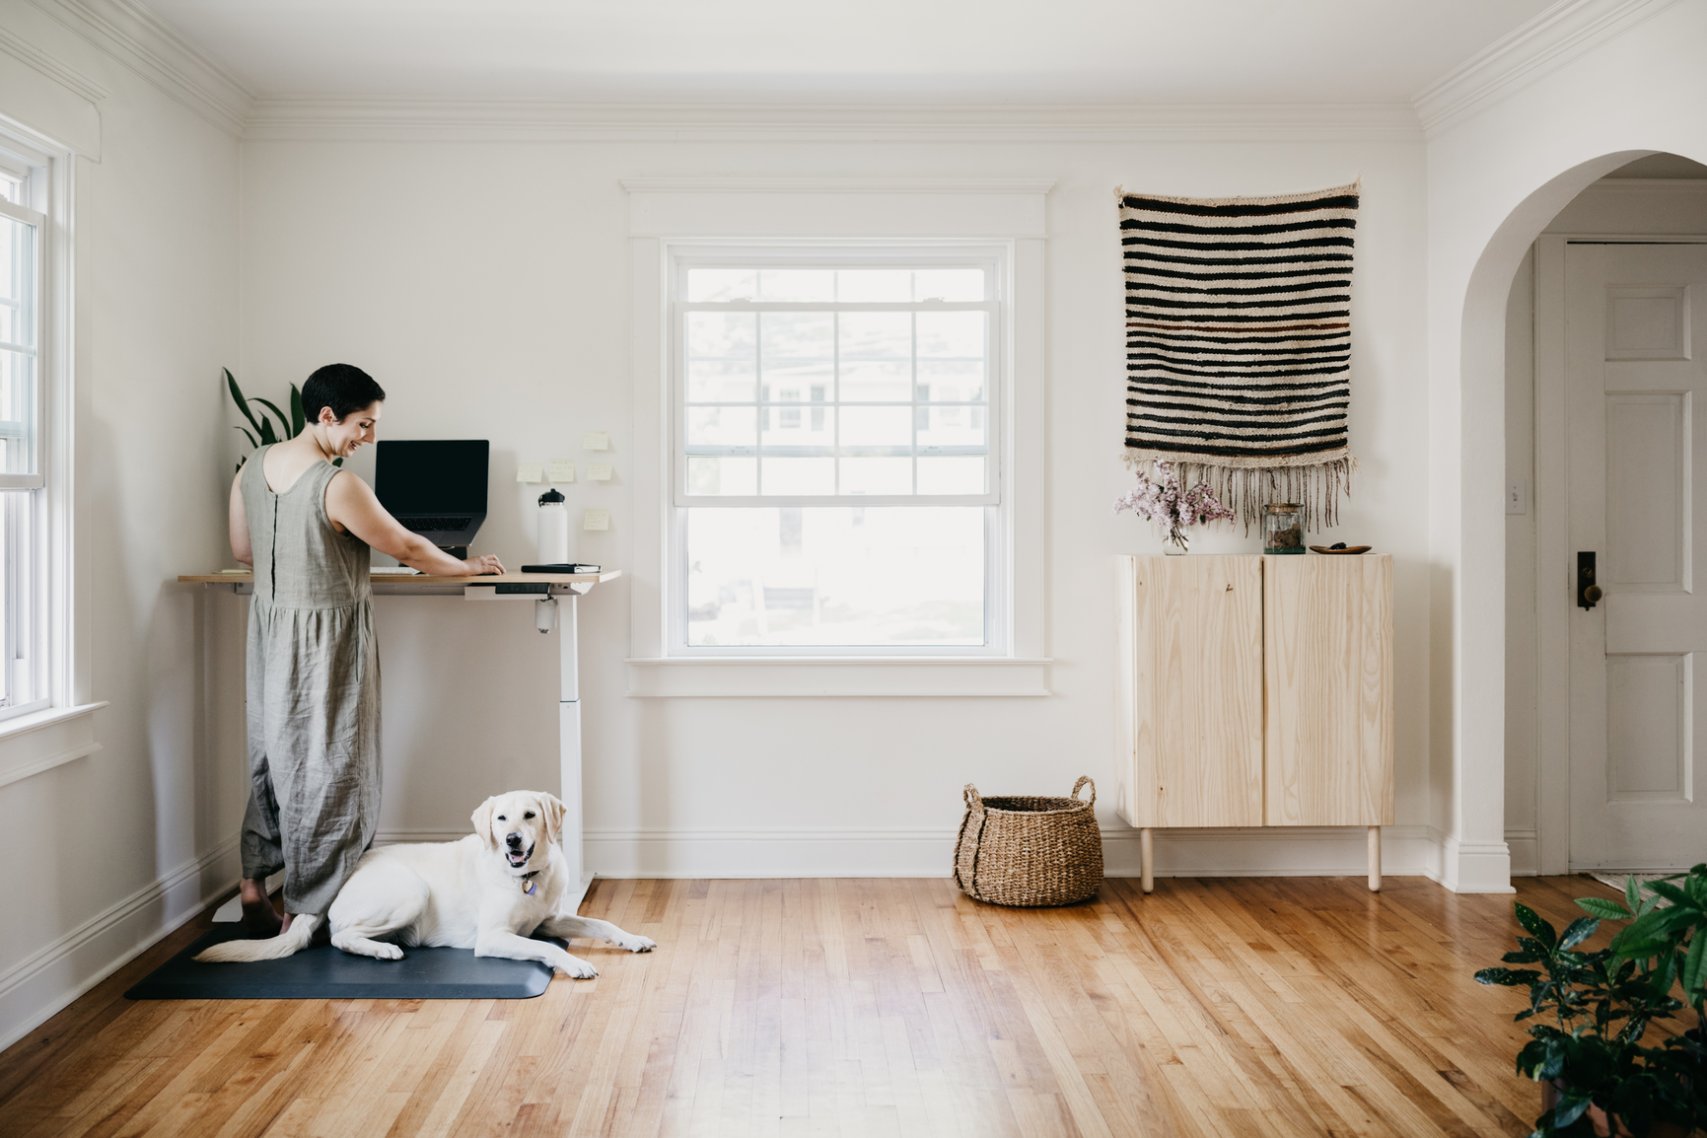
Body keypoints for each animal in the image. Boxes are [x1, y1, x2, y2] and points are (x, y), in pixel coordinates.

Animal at [195, 791, 652, 982]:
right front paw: (575, 964)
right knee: (340, 936)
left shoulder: (549, 920)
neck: (525, 878)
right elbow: (547, 950)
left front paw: (633, 938)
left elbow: (600, 924)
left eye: (530, 815)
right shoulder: (493, 938)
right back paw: (383, 950)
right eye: (501, 819)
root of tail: (340, 874)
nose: (512, 841)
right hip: (411, 891)